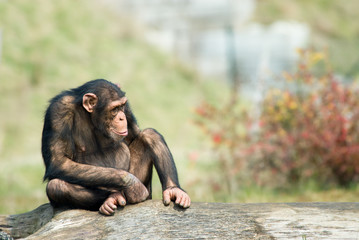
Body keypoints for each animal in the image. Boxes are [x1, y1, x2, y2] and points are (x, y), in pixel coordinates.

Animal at [41, 79, 191, 216]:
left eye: (122, 106)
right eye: (114, 109)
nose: (121, 117)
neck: (91, 117)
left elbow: (136, 135)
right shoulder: (58, 111)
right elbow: (59, 161)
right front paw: (133, 185)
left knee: (150, 134)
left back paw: (173, 190)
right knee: (56, 186)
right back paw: (112, 198)